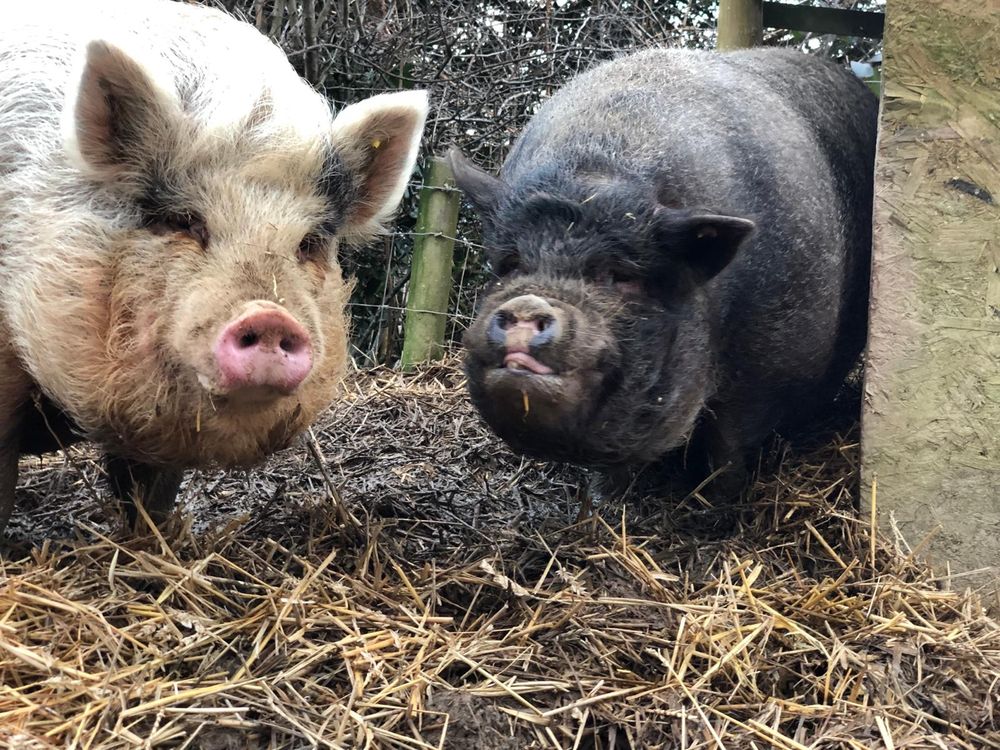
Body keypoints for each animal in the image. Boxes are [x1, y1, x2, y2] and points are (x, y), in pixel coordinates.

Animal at [451, 48, 877, 501]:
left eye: (620, 274)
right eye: (511, 264)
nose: (529, 302)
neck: (595, 168)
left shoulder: (770, 364)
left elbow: (727, 442)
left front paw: (719, 503)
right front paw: (602, 501)